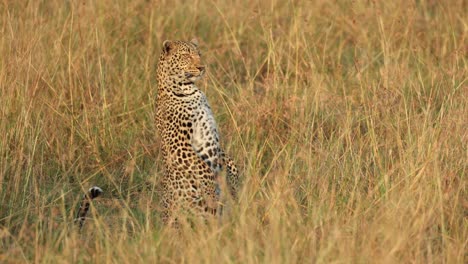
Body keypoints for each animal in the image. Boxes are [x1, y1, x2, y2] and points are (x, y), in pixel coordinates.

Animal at [155, 38, 239, 225]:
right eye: (186, 56)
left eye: (199, 54)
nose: (201, 67)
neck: (190, 91)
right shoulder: (180, 147)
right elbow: (204, 169)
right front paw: (211, 192)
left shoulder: (213, 141)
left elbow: (229, 161)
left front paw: (234, 185)